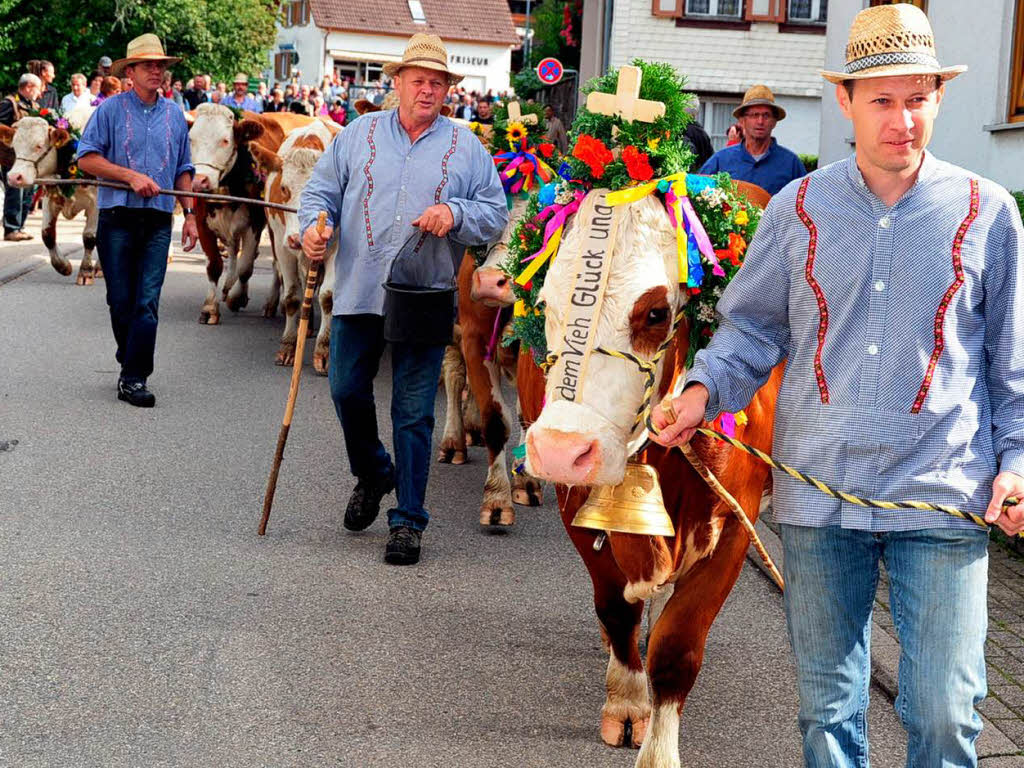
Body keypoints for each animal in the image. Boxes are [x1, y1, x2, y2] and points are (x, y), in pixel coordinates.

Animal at [187, 103, 315, 323]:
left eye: (225, 140)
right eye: (191, 138)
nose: (199, 181)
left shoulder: (254, 224)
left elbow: (246, 267)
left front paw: (236, 298)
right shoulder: (202, 222)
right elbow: (214, 265)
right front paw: (210, 307)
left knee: (275, 265)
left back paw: (272, 303)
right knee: (232, 250)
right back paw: (228, 286)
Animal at [249, 118, 342, 374]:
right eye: (283, 188)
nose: (297, 239)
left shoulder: (337, 249)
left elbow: (328, 297)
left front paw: (324, 351)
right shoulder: (283, 248)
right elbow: (291, 296)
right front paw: (289, 346)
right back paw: (305, 326)